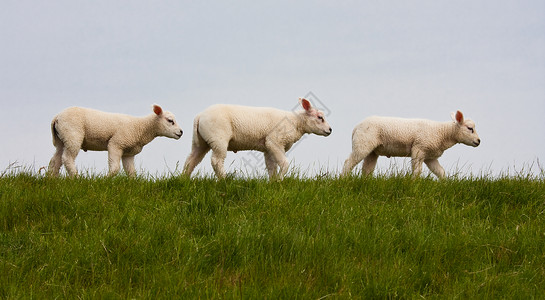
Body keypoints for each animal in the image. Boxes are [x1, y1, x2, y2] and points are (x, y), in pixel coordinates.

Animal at [47, 105, 183, 177]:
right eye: (170, 120)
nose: (181, 132)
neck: (140, 127)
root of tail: (57, 117)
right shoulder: (116, 143)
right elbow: (115, 168)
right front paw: (106, 179)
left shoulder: (128, 153)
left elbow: (131, 172)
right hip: (73, 135)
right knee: (67, 158)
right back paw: (76, 177)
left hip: (62, 140)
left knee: (55, 161)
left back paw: (52, 178)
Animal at [183, 98, 332, 178]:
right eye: (320, 117)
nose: (330, 130)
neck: (295, 122)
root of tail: (200, 116)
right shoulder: (274, 142)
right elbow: (284, 164)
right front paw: (280, 180)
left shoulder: (268, 148)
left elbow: (271, 167)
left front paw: (273, 182)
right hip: (218, 138)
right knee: (217, 161)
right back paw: (224, 179)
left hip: (201, 141)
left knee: (192, 160)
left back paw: (184, 179)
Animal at [342, 111, 478, 179]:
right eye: (470, 128)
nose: (479, 141)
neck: (442, 133)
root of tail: (356, 127)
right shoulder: (419, 149)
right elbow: (417, 171)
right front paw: (414, 184)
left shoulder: (430, 157)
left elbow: (441, 172)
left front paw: (445, 183)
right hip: (363, 144)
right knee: (348, 162)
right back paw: (344, 179)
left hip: (372, 150)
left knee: (367, 169)